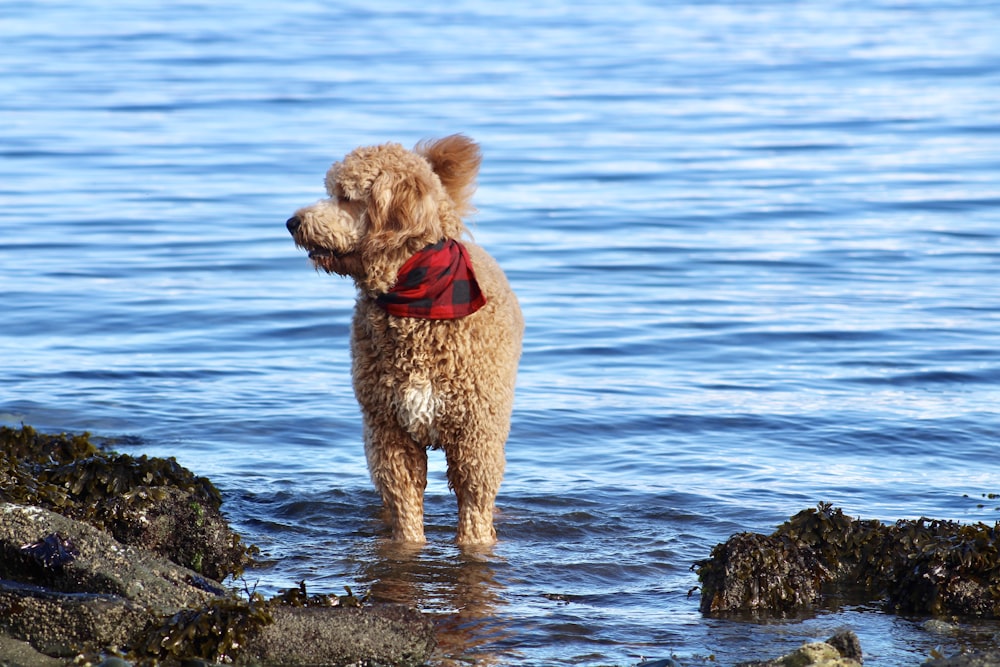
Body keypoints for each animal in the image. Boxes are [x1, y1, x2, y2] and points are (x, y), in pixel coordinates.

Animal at [286, 136, 524, 548]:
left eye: (346, 196)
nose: (293, 222)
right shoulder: (389, 434)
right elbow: (405, 509)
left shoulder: (476, 440)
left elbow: (474, 516)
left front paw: (475, 545)